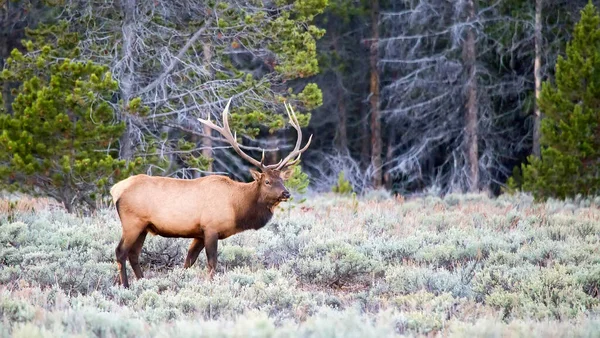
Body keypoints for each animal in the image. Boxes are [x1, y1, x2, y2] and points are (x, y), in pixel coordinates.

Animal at [109, 99, 312, 286]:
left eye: (282, 180)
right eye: (268, 181)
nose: (286, 193)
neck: (237, 207)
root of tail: (115, 189)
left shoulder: (199, 233)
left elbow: (188, 262)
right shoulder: (211, 228)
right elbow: (212, 263)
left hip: (143, 226)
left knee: (134, 254)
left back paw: (142, 282)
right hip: (132, 222)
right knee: (120, 252)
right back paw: (125, 286)